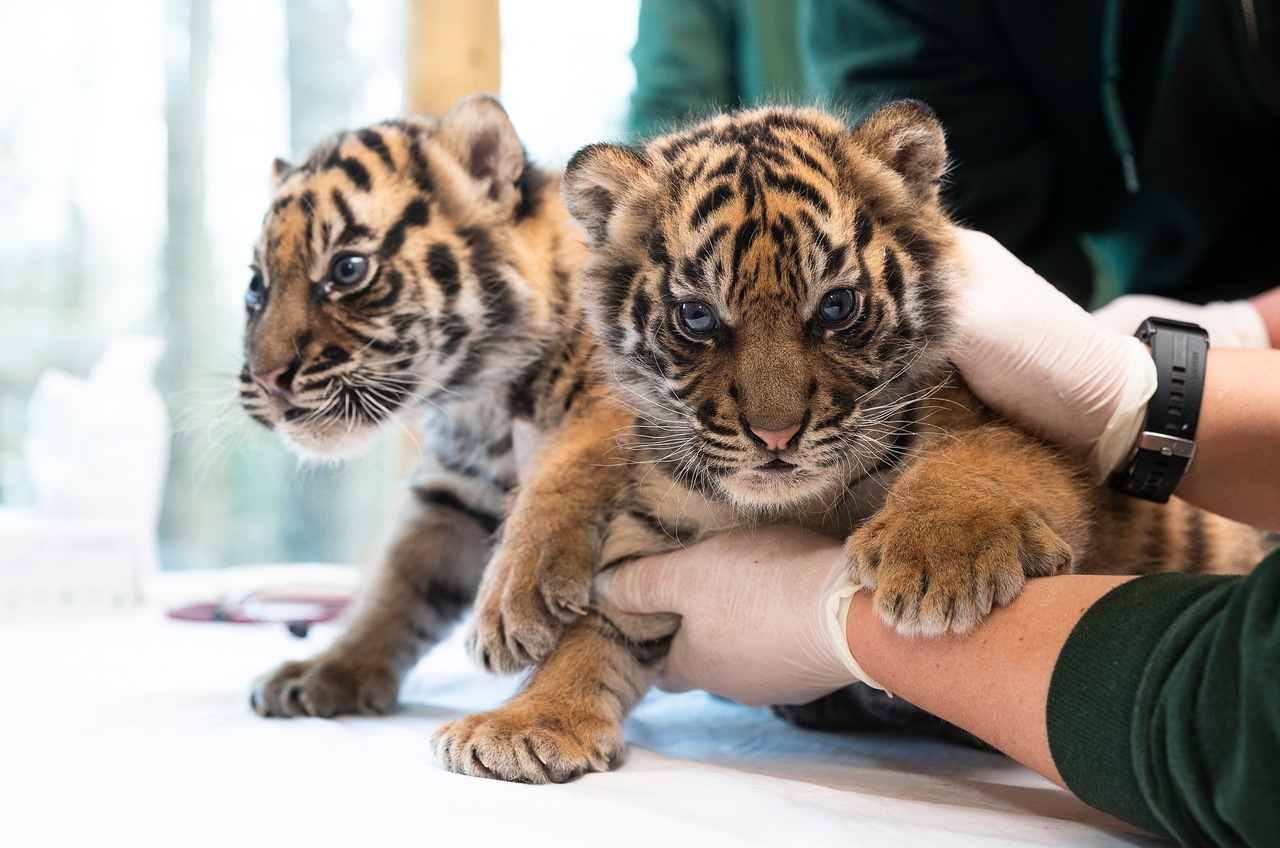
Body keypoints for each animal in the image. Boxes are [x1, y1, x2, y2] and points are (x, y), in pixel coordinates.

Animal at [242, 94, 630, 719]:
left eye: (348, 269)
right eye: (257, 285)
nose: (267, 378)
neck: (476, 399)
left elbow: (562, 467)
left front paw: (512, 600)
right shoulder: (452, 497)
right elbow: (396, 586)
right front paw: (326, 671)